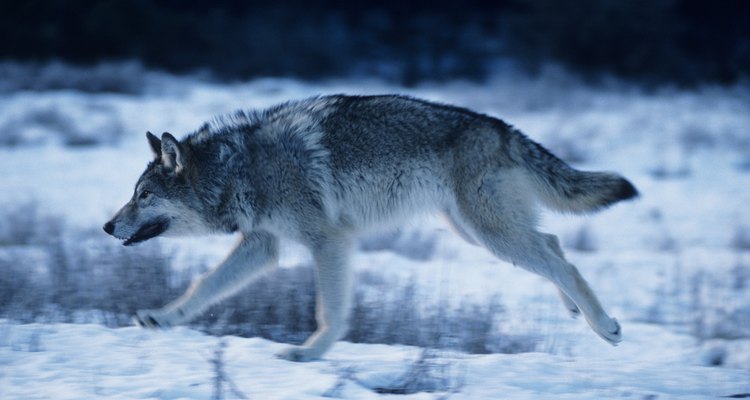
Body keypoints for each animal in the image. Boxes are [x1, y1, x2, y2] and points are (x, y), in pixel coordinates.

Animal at [103, 94, 636, 362]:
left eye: (143, 195)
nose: (107, 226)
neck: (240, 169)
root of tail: (501, 127)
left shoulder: (329, 241)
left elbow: (330, 309)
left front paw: (310, 355)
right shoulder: (264, 245)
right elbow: (203, 287)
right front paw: (161, 319)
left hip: (490, 233)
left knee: (561, 262)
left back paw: (605, 326)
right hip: (477, 231)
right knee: (554, 245)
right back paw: (577, 311)